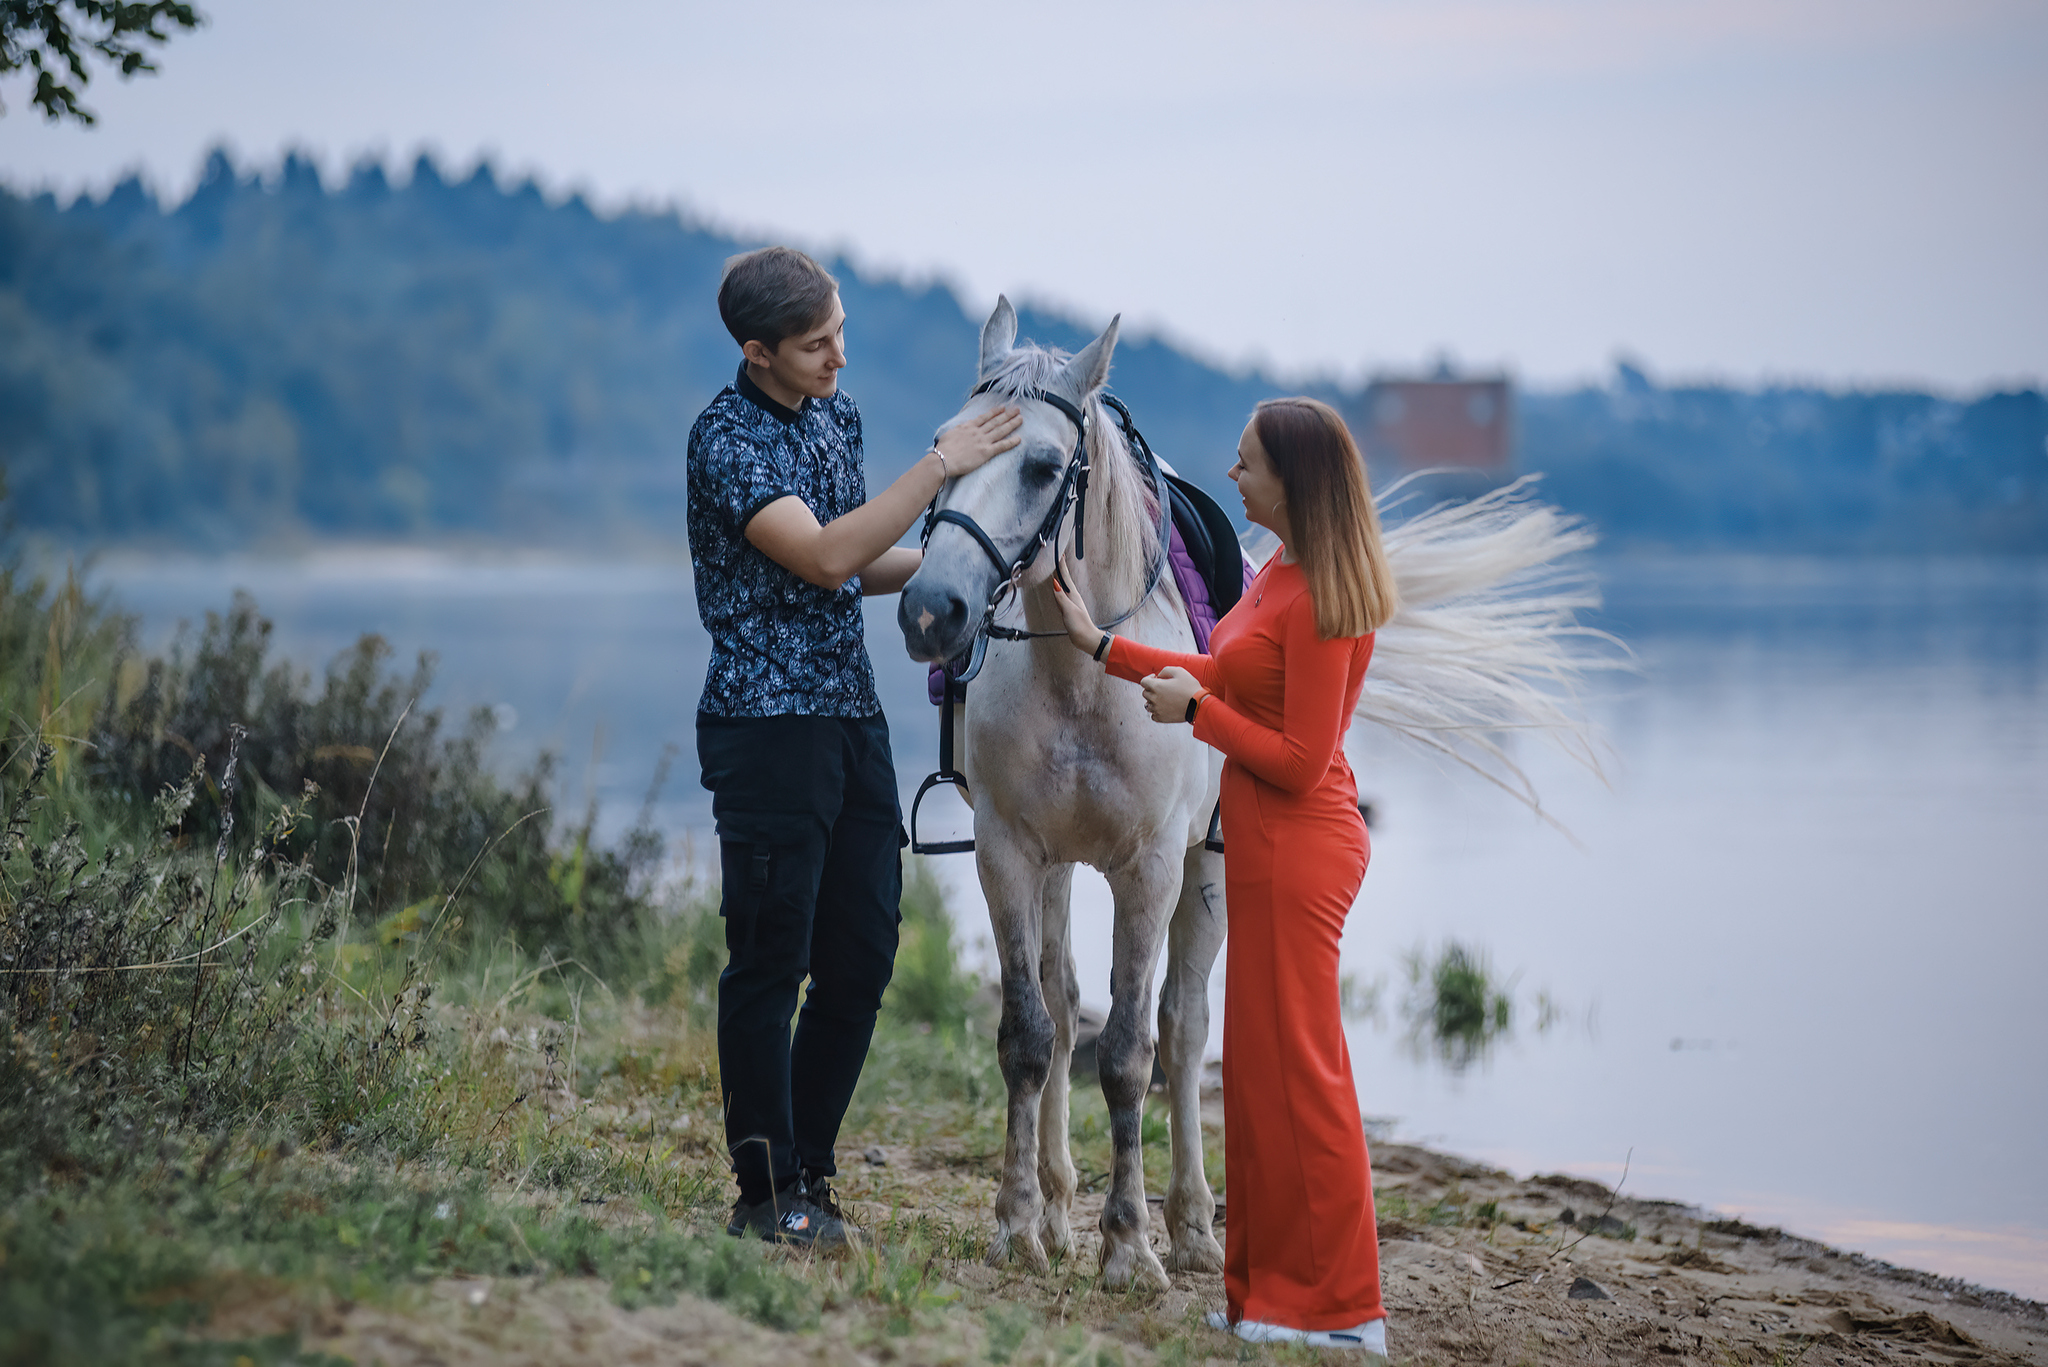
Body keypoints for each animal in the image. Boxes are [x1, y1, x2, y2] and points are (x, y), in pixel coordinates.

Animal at [897, 301, 1212, 1295]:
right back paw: (1059, 1202)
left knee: (1185, 1032)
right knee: (1067, 1005)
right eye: (940, 448)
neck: (1083, 675)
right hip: (1062, 867)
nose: (930, 610)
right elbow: (1031, 1035)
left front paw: (1130, 1245)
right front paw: (1019, 1222)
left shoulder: (1150, 869)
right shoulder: (1008, 854)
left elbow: (1131, 1051)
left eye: (1041, 465)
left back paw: (1192, 1225)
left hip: (1208, 866)